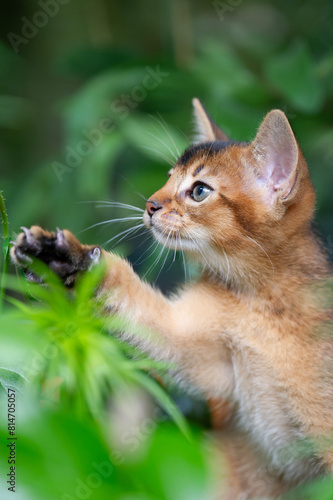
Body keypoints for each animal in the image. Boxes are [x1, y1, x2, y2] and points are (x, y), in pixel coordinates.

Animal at [10, 98, 332, 500]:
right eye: (167, 177)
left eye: (199, 191)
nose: (150, 205)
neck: (258, 301)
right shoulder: (203, 356)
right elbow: (133, 304)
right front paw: (63, 259)